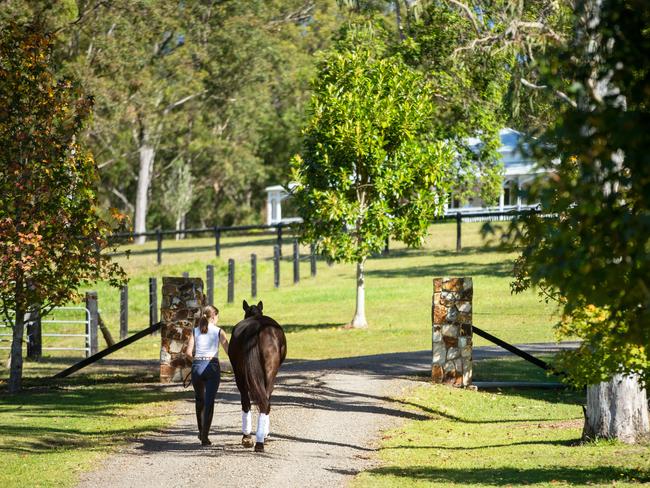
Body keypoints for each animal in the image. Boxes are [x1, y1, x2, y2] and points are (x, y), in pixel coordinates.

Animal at [229, 300, 288, 452]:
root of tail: (255, 327)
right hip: (269, 374)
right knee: (265, 402)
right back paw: (261, 440)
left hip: (240, 374)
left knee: (246, 402)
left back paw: (247, 438)